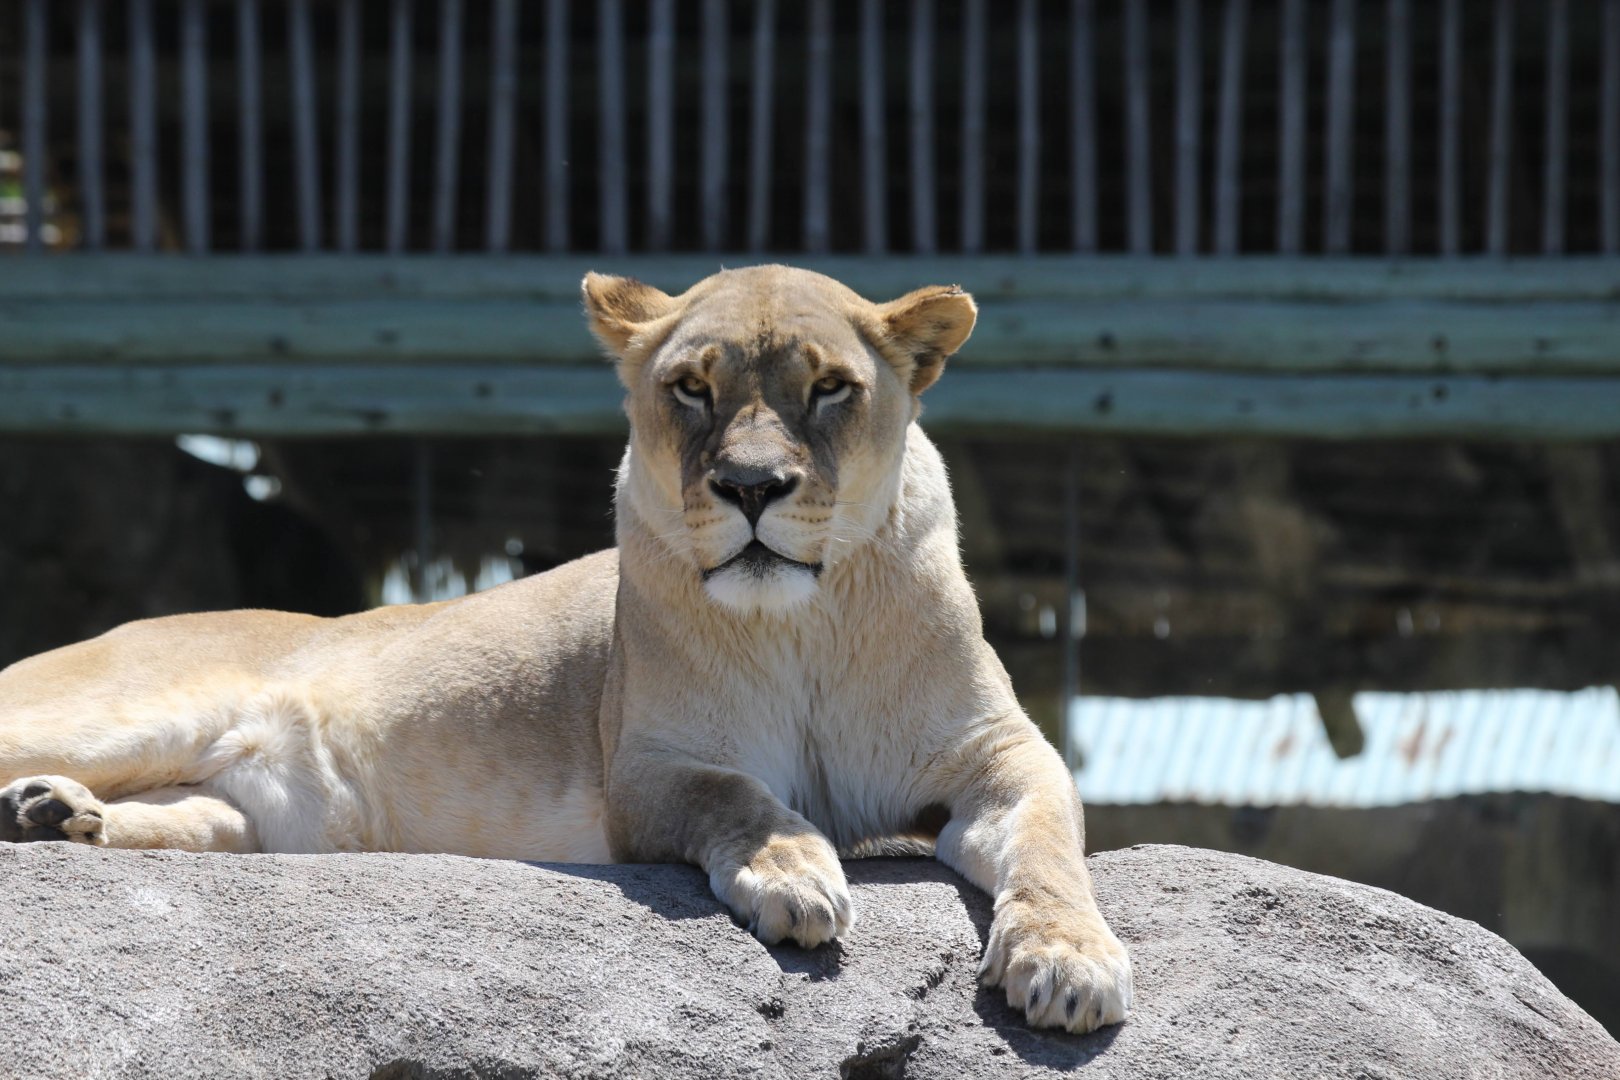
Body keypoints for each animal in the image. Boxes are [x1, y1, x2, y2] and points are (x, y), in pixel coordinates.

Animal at [0, 265, 1132, 1033]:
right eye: (692, 388)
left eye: (828, 389)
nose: (751, 487)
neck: (802, 623)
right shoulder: (648, 767)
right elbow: (741, 798)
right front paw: (791, 873)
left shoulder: (998, 753)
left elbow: (1049, 848)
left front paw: (1070, 964)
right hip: (124, 712)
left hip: (249, 820)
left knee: (182, 815)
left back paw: (54, 815)